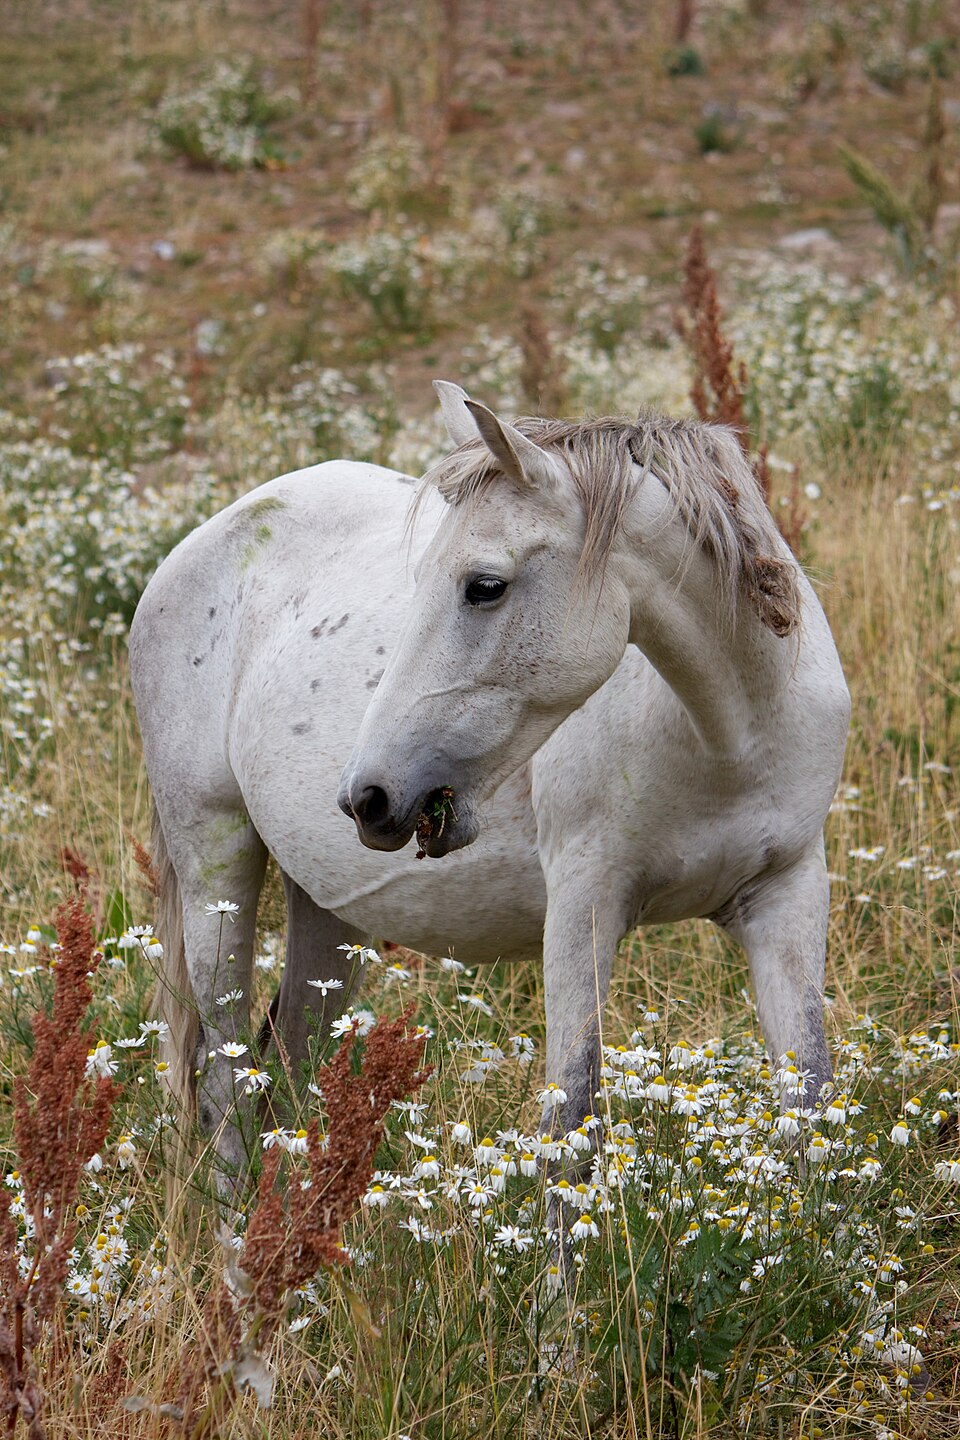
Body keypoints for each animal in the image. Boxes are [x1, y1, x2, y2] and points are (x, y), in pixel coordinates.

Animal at [131, 381, 849, 1177]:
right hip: (214, 870)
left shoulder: (786, 894)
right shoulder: (584, 907)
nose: (368, 797)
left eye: (484, 586)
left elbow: (808, 1107)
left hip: (324, 909)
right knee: (224, 1091)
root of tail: (203, 540)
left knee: (286, 1079)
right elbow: (569, 1130)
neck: (730, 736)